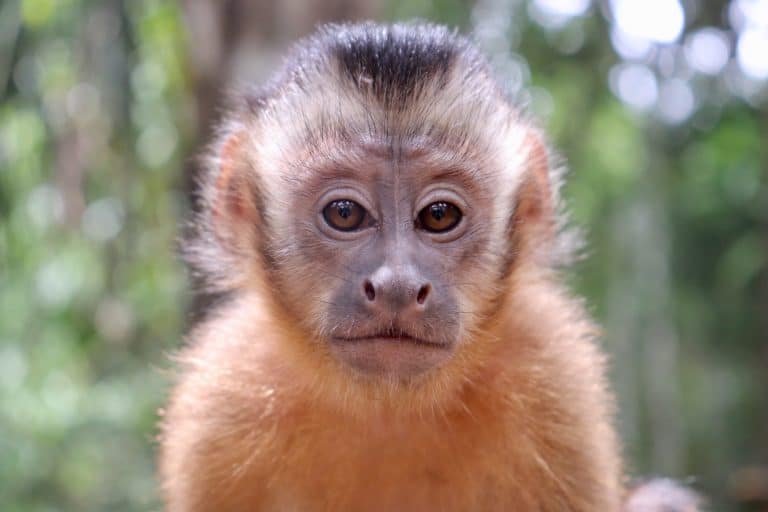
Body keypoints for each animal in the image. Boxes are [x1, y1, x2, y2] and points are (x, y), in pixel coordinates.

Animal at [159, 22, 702, 511]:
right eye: (345, 213)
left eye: (439, 216)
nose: (397, 286)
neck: (388, 408)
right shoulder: (221, 404)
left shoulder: (558, 379)